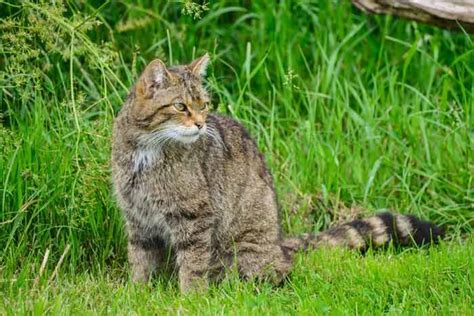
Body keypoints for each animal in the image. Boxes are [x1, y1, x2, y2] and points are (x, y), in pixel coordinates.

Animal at [112, 54, 444, 294]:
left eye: (204, 105)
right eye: (180, 106)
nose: (200, 124)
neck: (147, 151)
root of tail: (280, 242)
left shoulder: (195, 216)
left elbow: (193, 264)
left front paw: (190, 299)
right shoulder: (137, 216)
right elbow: (140, 259)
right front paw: (137, 293)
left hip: (242, 254)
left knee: (278, 272)